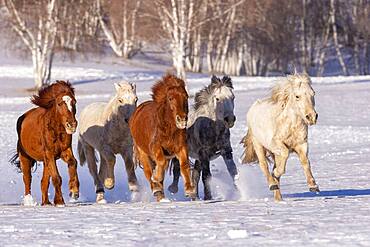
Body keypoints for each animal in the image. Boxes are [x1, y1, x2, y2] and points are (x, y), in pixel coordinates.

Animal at [129, 73, 195, 201]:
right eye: (170, 98)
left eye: (186, 96)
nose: (182, 119)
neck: (169, 130)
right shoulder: (155, 147)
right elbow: (161, 162)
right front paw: (156, 178)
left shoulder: (181, 147)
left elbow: (184, 165)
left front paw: (190, 190)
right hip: (143, 153)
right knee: (148, 172)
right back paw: (156, 189)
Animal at [241, 73, 320, 201]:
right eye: (297, 96)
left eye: (313, 93)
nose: (311, 117)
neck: (290, 125)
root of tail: (254, 107)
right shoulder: (276, 144)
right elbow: (284, 155)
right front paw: (276, 173)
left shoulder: (302, 144)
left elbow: (305, 162)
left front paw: (313, 186)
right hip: (258, 145)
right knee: (263, 164)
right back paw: (272, 184)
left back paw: (278, 198)